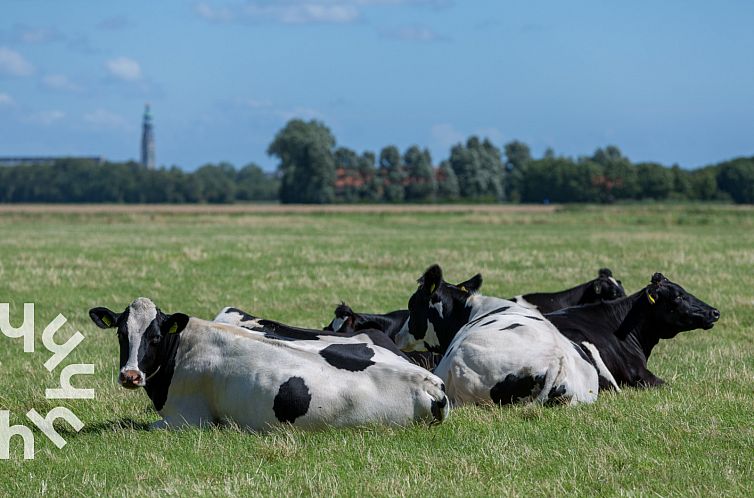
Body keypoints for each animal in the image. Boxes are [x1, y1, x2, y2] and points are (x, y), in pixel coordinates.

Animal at [91, 298, 450, 430]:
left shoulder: (186, 420)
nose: (130, 376)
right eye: (121, 333)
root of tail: (428, 382)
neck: (184, 346)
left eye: (154, 337)